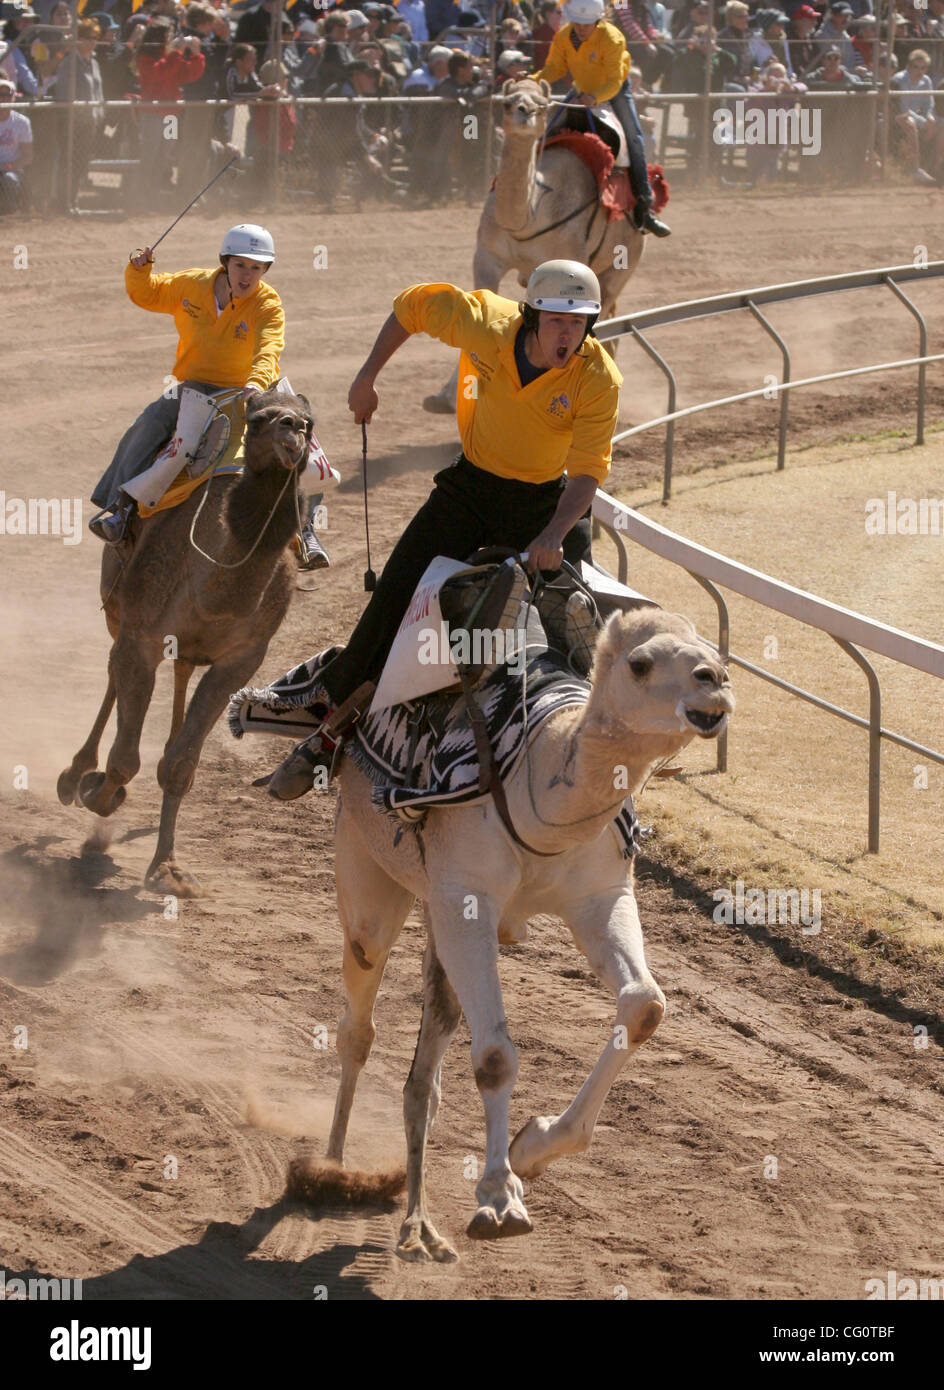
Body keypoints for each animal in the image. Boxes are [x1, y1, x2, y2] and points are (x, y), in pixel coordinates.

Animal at [59, 386, 314, 895]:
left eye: (309, 424)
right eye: (259, 420)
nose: (292, 432)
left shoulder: (242, 658)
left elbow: (180, 764)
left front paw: (169, 870)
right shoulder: (142, 636)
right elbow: (124, 758)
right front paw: (99, 792)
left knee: (177, 679)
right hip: (117, 602)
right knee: (113, 669)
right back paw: (75, 774)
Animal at [321, 608, 734, 1262]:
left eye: (714, 651)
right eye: (641, 664)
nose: (713, 682)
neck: (538, 779)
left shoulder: (600, 897)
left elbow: (644, 1005)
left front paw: (532, 1148)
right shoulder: (467, 897)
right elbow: (493, 1055)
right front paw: (498, 1198)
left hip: (435, 917)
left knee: (428, 1062)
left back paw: (419, 1225)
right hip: (366, 863)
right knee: (360, 1007)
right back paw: (331, 1170)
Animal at [425, 77, 645, 411]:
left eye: (541, 105)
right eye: (507, 101)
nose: (524, 111)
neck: (531, 214)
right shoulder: (486, 257)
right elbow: (477, 308)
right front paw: (449, 395)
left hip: (620, 268)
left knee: (607, 306)